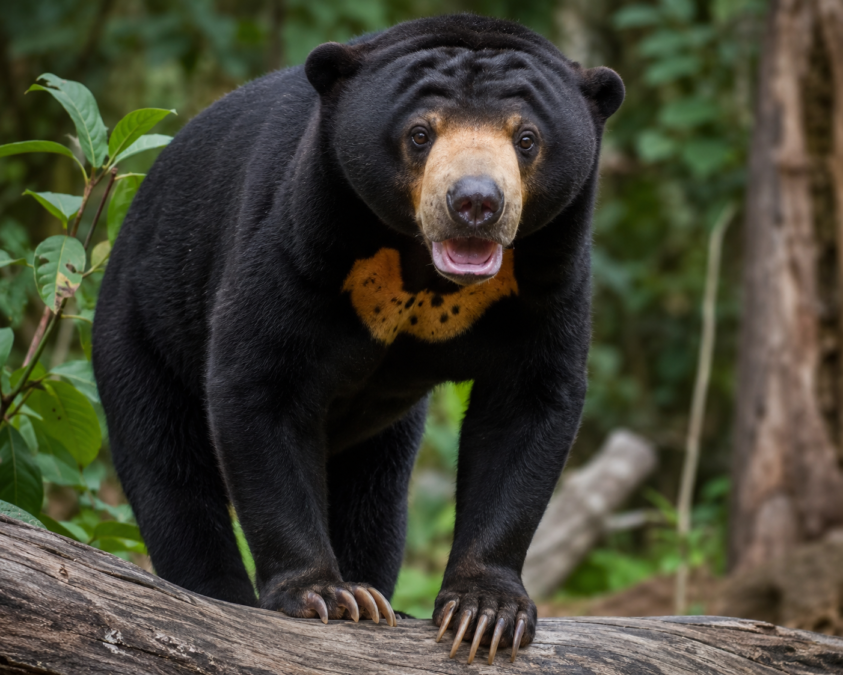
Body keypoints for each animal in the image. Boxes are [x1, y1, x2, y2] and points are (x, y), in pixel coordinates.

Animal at [92, 14, 623, 665]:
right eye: (420, 134)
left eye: (526, 139)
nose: (475, 203)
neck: (423, 269)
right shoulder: (300, 236)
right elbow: (259, 383)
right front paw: (324, 595)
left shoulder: (550, 274)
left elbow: (529, 403)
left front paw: (485, 614)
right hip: (141, 330)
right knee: (170, 470)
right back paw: (223, 595)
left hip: (384, 430)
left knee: (375, 496)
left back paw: (376, 589)